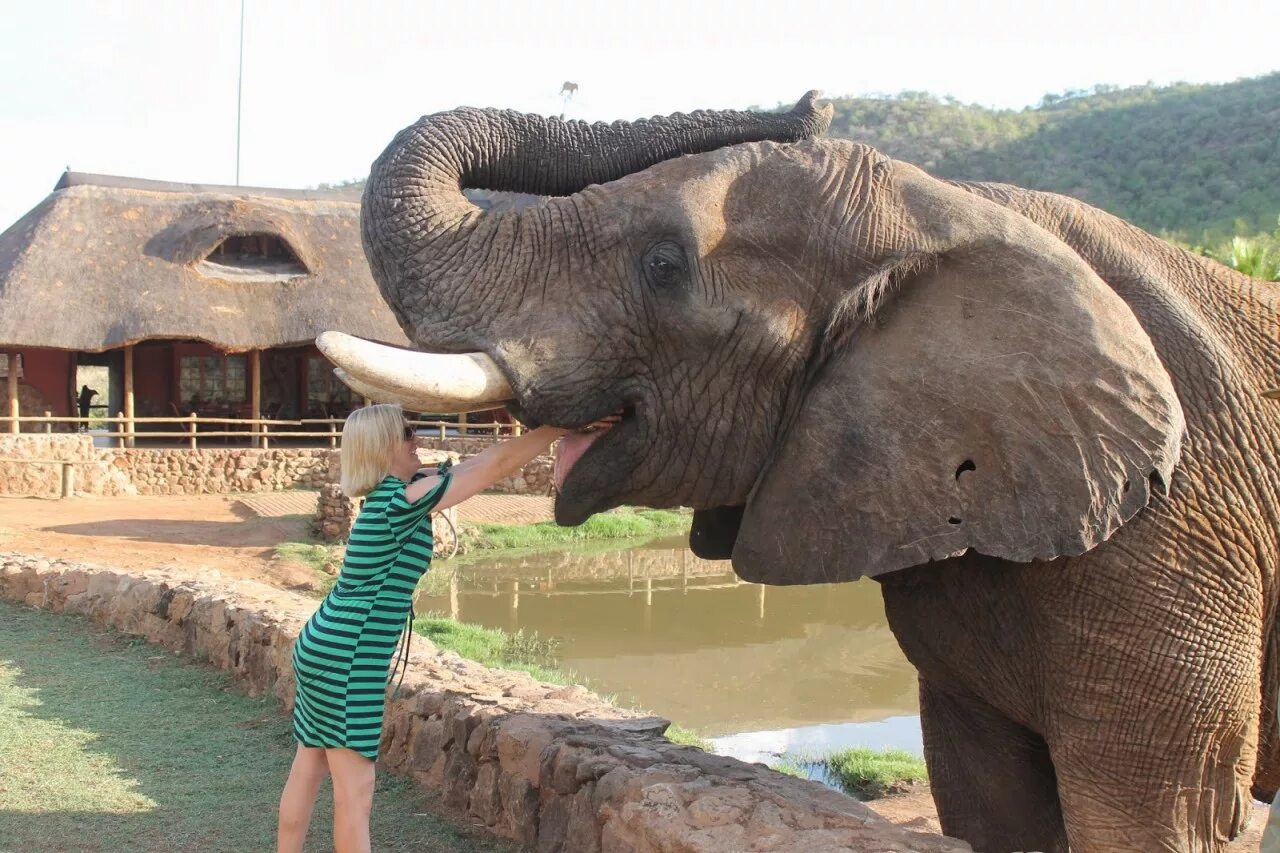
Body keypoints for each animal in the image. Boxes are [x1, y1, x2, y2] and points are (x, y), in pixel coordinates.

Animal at [322, 92, 1280, 850]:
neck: (955, 207)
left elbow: (1158, 818)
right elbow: (990, 802)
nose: (811, 103)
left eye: (663, 265)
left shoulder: (1177, 533)